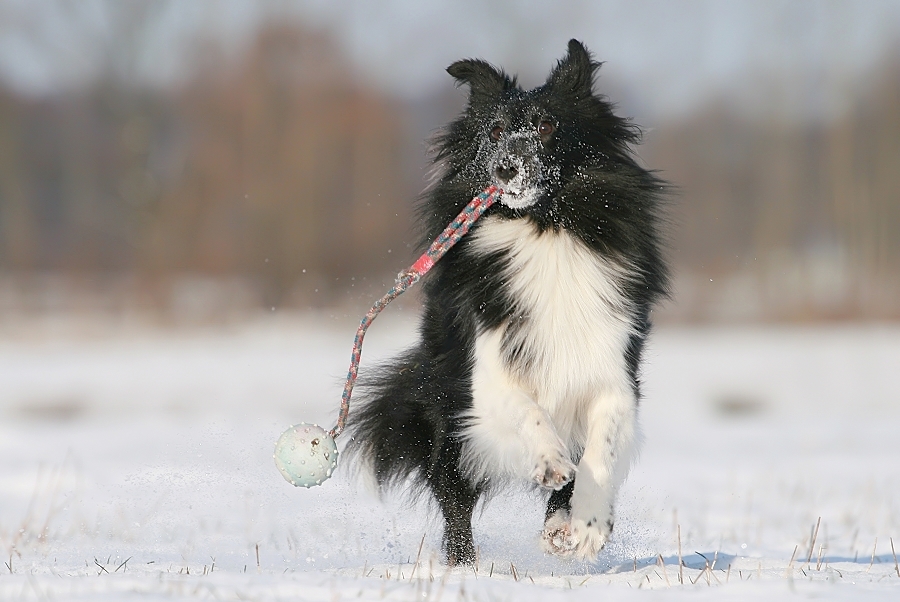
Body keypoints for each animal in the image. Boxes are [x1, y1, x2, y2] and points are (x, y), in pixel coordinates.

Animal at [348, 38, 672, 564]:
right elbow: (527, 409)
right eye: (496, 131)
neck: (545, 228)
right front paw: (550, 460)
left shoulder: (613, 369)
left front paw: (588, 526)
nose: (506, 169)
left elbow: (602, 443)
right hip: (449, 421)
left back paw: (558, 527)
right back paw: (465, 565)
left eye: (546, 126)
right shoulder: (485, 374)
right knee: (454, 498)